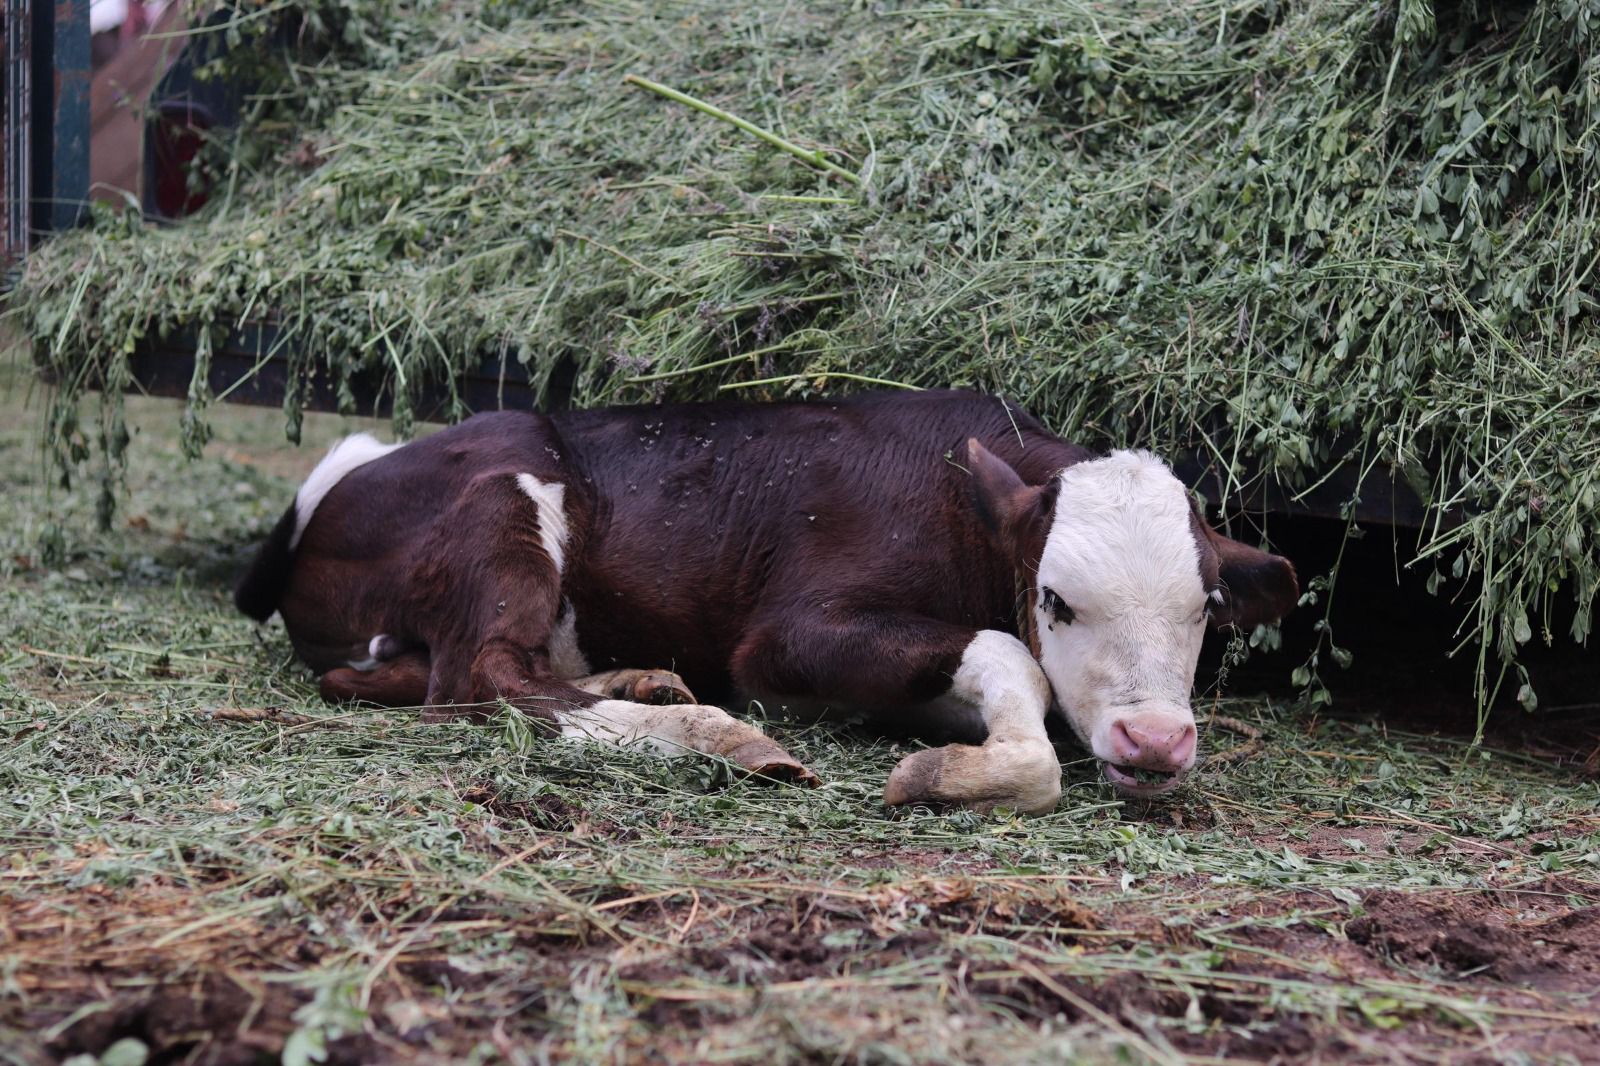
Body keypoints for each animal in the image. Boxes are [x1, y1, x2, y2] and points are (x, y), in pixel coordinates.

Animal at [235, 389, 1297, 813]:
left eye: (1206, 607)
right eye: (1058, 599)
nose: (1155, 741)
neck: (957, 498)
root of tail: (327, 497)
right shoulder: (784, 640)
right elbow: (1011, 654)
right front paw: (953, 774)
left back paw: (646, 680)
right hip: (507, 493)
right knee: (481, 675)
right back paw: (708, 732)